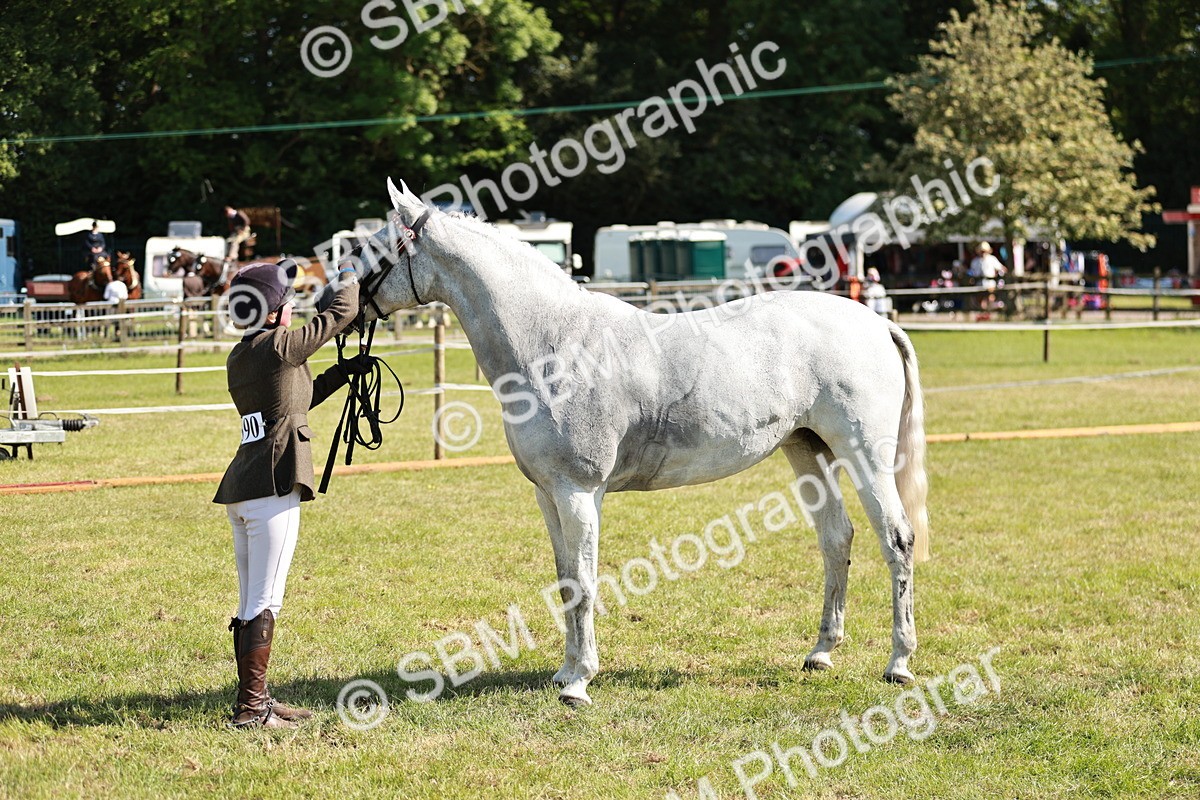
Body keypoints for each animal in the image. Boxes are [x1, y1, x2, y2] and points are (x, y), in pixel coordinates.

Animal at [337, 178, 930, 707]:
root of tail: (876, 323)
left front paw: (579, 685)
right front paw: (565, 671)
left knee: (896, 540)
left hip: (863, 455)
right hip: (807, 450)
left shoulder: (579, 491)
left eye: (369, 248)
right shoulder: (548, 494)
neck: (555, 343)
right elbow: (565, 581)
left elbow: (583, 582)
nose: (331, 303)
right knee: (836, 538)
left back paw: (899, 663)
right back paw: (821, 653)